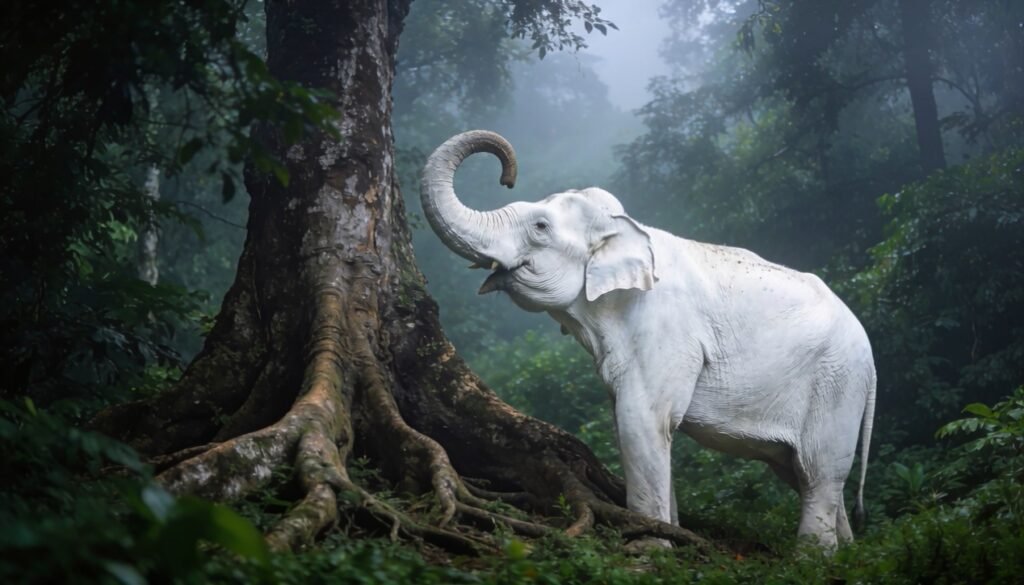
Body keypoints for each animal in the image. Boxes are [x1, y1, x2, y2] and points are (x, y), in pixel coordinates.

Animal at [420, 130, 877, 548]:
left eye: (540, 226)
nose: (507, 177)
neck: (629, 228)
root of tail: (872, 361)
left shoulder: (667, 331)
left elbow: (641, 420)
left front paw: (648, 547)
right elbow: (634, 423)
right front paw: (670, 536)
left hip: (837, 384)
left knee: (819, 471)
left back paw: (811, 558)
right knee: (803, 473)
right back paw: (847, 551)